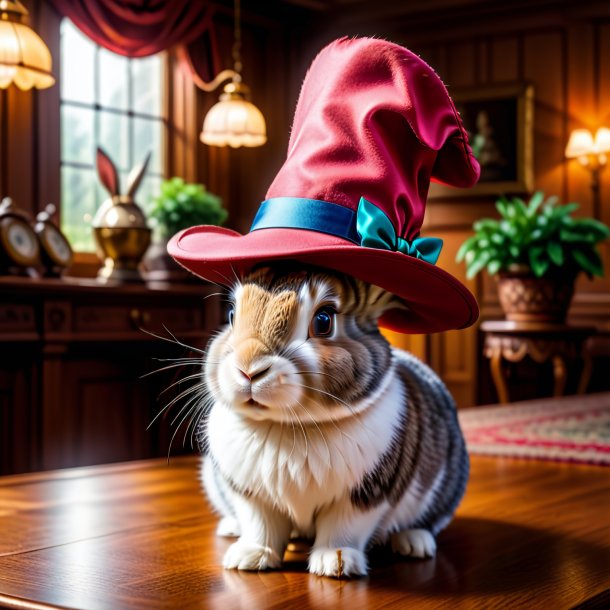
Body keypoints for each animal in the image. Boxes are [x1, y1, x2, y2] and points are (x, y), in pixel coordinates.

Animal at [197, 262, 468, 576]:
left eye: (324, 320)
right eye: (231, 314)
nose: (248, 368)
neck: (290, 426)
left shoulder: (363, 497)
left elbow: (342, 528)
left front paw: (335, 563)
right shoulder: (252, 497)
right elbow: (261, 526)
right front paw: (249, 558)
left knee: (429, 521)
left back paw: (414, 543)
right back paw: (230, 528)